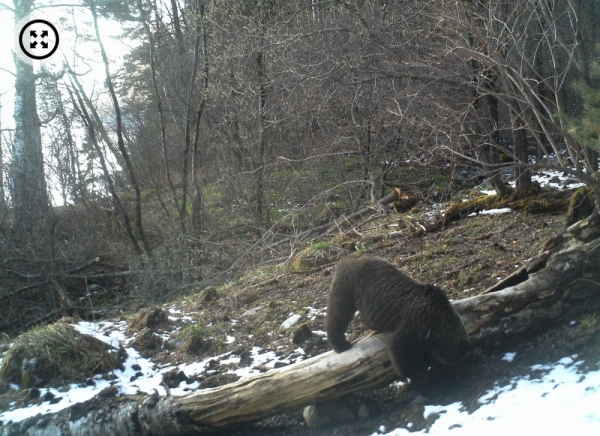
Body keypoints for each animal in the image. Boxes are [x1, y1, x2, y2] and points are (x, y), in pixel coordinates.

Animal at [326, 258, 472, 384]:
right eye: (459, 357)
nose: (460, 370)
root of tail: (345, 261)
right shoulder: (415, 325)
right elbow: (400, 351)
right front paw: (420, 375)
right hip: (348, 289)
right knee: (338, 315)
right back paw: (341, 344)